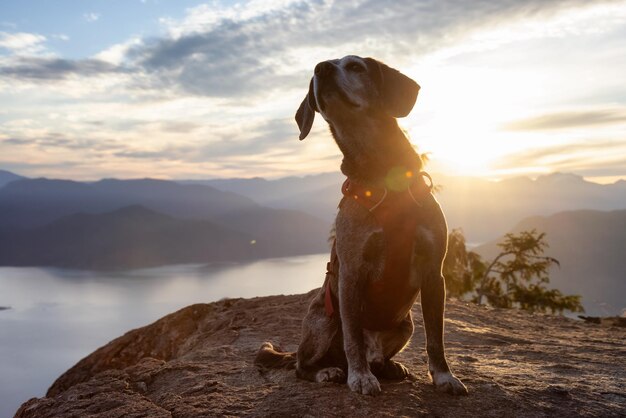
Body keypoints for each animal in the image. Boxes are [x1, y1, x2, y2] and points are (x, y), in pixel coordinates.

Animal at [254, 55, 464, 396]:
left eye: (355, 66)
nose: (321, 68)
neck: (381, 172)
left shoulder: (434, 273)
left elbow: (436, 338)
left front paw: (444, 376)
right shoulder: (351, 273)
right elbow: (352, 337)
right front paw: (360, 377)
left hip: (407, 323)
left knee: (381, 356)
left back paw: (390, 366)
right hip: (324, 321)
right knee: (302, 365)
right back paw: (328, 371)